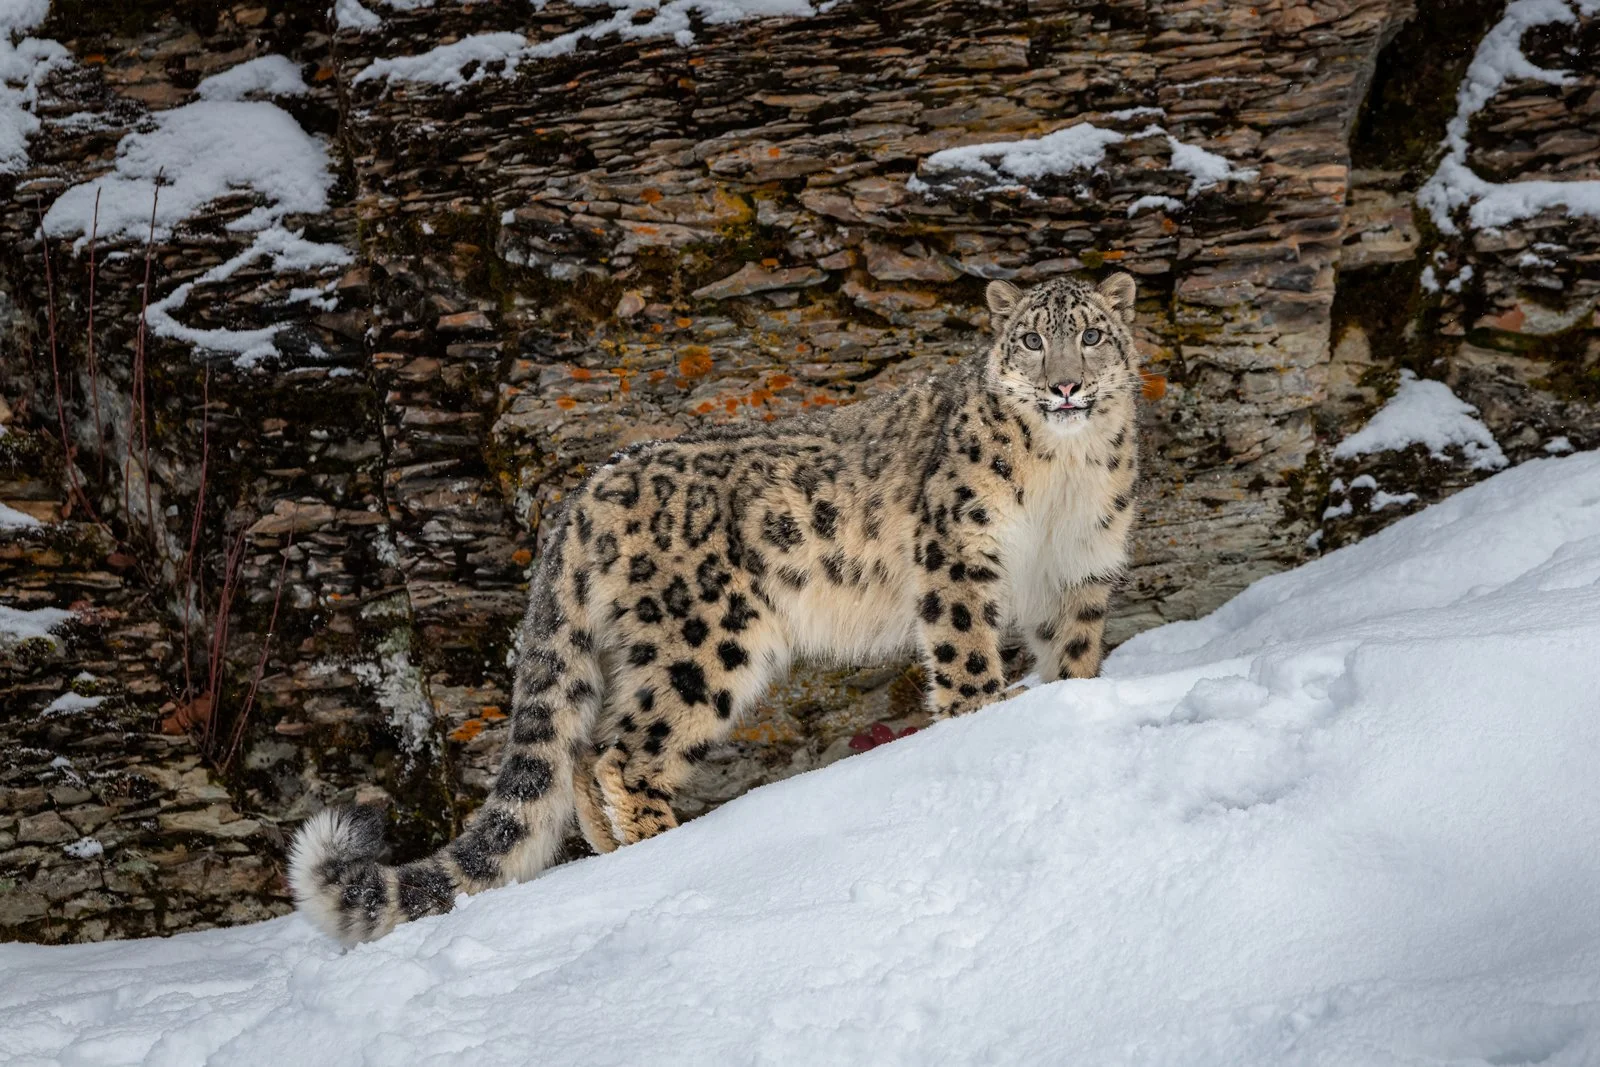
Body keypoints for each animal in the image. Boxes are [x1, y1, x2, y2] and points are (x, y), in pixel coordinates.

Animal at [290, 272, 1144, 944]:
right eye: (1031, 339)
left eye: (1091, 334)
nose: (1065, 385)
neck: (1063, 478)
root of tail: (584, 492)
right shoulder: (957, 554)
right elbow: (967, 659)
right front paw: (981, 726)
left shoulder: (1079, 572)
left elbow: (1072, 656)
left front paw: (1070, 701)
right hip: (706, 638)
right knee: (625, 753)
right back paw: (663, 847)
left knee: (582, 750)